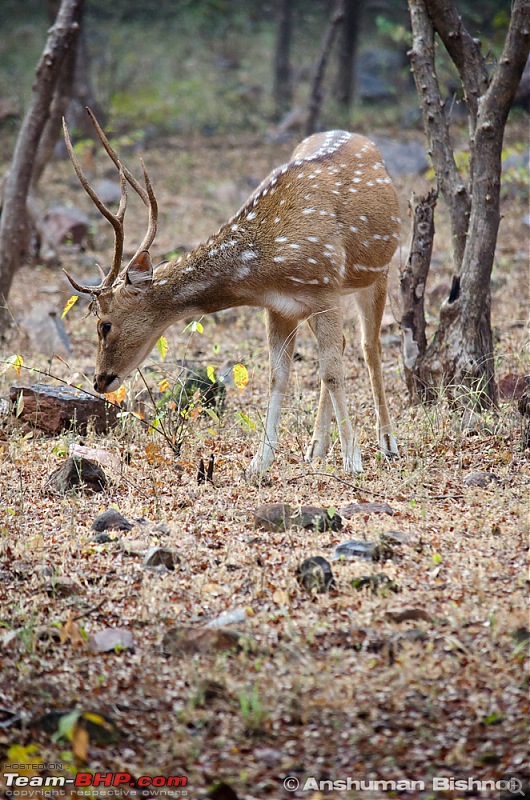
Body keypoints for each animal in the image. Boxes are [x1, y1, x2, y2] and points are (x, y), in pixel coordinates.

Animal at [63, 112, 400, 476]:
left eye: (105, 324)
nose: (99, 381)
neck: (266, 261)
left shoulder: (323, 285)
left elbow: (333, 372)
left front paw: (353, 461)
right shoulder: (280, 307)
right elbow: (278, 376)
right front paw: (259, 463)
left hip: (378, 271)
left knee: (370, 347)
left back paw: (388, 444)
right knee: (343, 345)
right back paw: (316, 448)